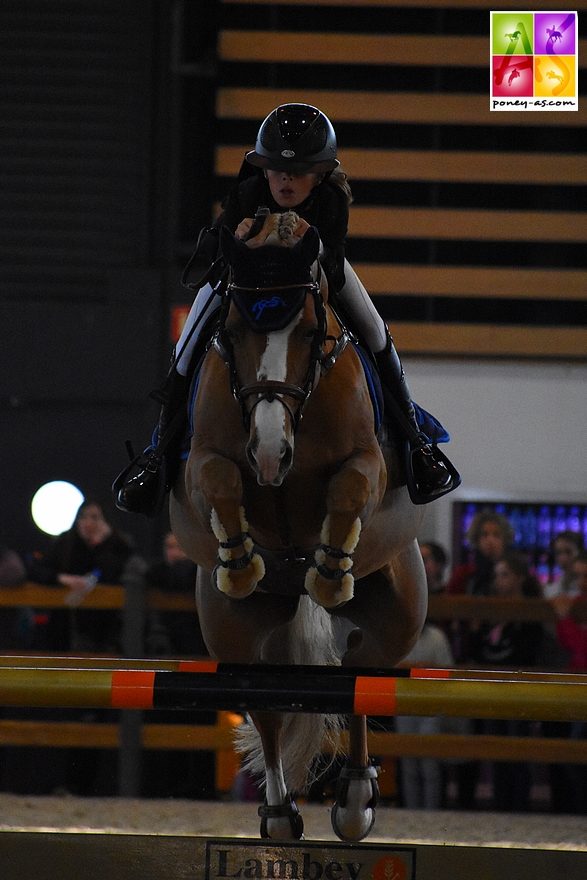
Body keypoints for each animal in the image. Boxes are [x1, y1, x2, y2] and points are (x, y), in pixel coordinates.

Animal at [170, 211, 428, 840]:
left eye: (312, 333)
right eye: (234, 330)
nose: (270, 453)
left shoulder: (370, 462)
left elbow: (350, 485)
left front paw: (331, 572)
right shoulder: (200, 463)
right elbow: (218, 477)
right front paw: (241, 561)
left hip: (399, 616)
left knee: (360, 676)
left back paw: (355, 800)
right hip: (234, 633)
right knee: (265, 702)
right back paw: (282, 813)